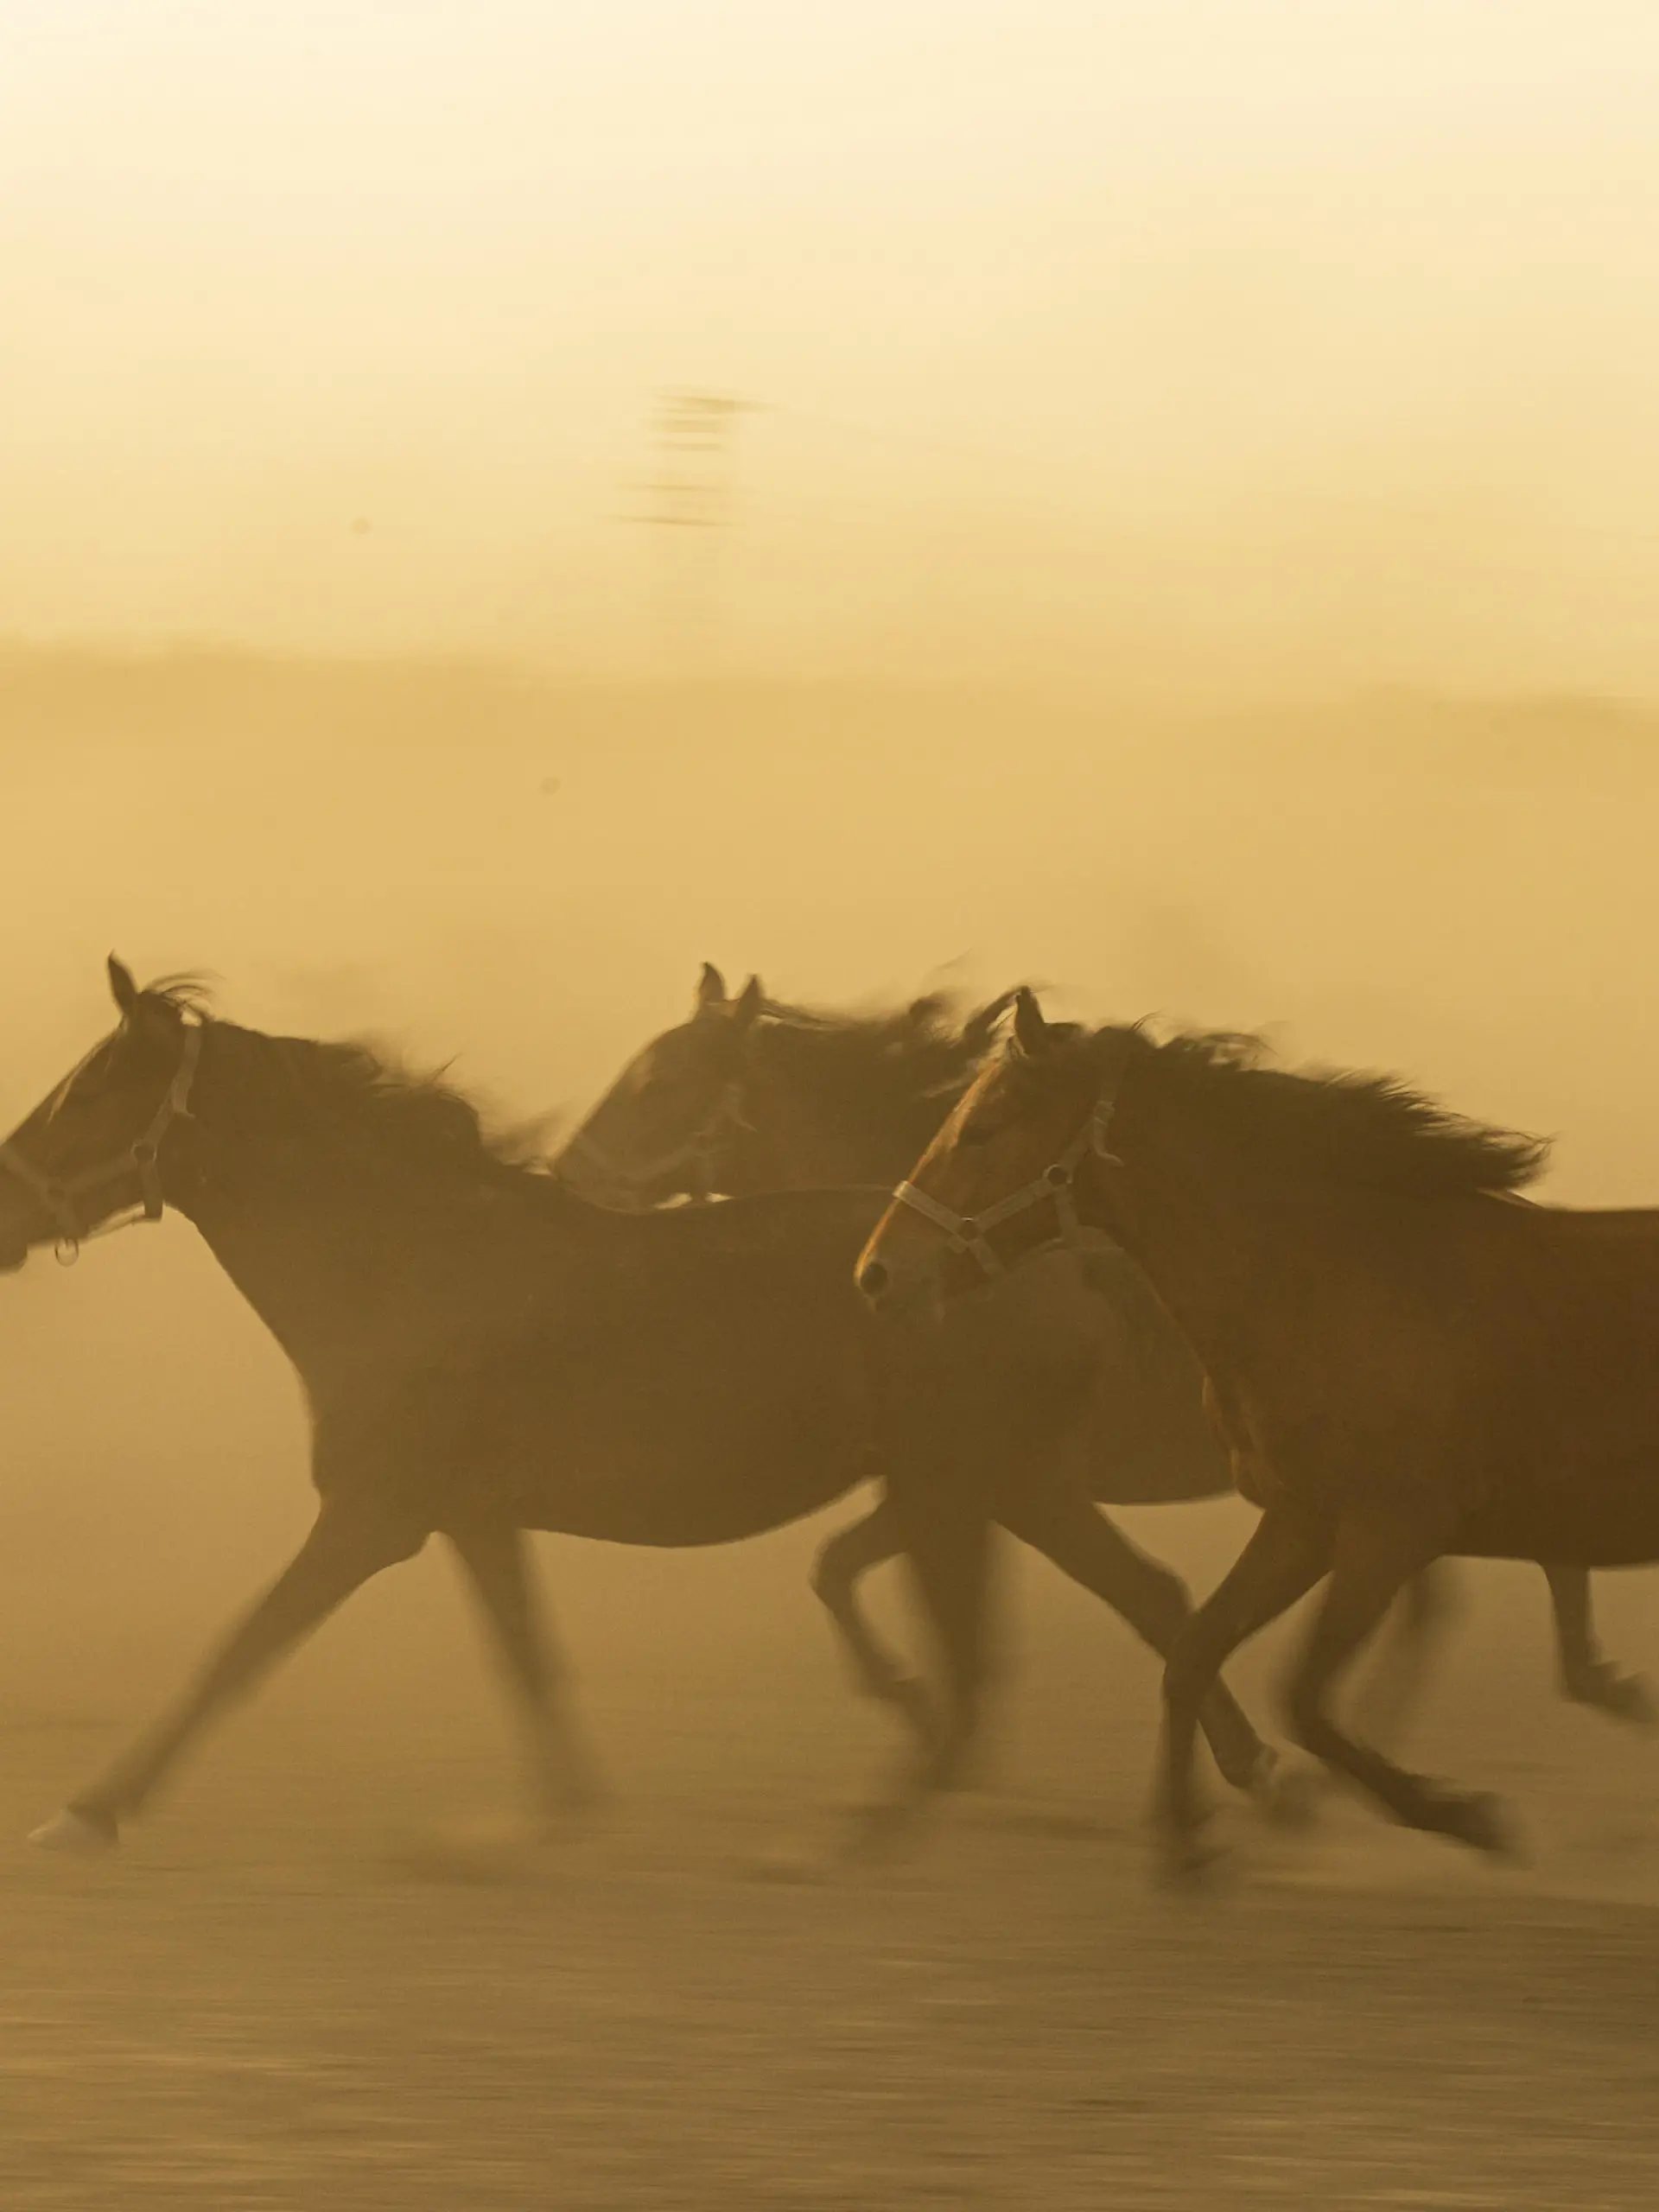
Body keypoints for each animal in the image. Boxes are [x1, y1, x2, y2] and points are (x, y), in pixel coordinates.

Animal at [0, 959, 1288, 1853]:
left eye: (88, 1089)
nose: (4, 1200)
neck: (407, 1264)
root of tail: (1056, 1265)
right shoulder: (472, 1519)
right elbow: (529, 1661)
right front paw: (569, 1817)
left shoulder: (372, 1516)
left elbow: (240, 1648)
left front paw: (87, 1812)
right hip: (986, 1490)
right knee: (1132, 1613)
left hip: (992, 1485)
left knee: (1113, 1614)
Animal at [857, 987, 1659, 1871]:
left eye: (982, 1129)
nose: (878, 1273)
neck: (1338, 1283)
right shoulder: (1302, 1522)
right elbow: (1195, 1652)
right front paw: (1186, 1841)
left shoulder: (1390, 1531)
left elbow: (1302, 1698)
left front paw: (1470, 1815)